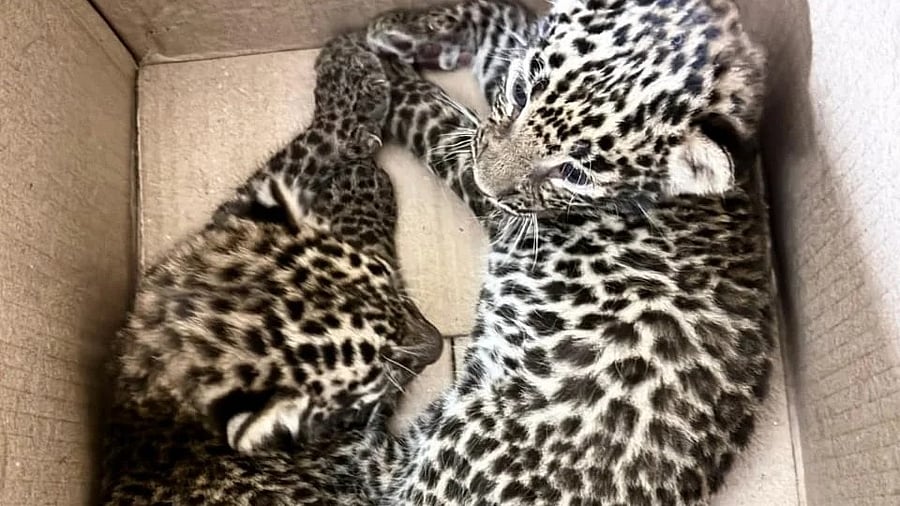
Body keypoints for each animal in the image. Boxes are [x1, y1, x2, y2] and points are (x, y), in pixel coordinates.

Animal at [99, 32, 443, 505]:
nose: (440, 345)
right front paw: (360, 183)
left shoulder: (225, 222)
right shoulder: (356, 454)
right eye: (378, 376)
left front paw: (346, 74)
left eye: (393, 292)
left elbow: (295, 158)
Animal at [348, 0, 778, 504]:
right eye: (519, 92)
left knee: (373, 470)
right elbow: (505, 21)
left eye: (575, 173)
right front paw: (401, 31)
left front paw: (375, 69)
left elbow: (440, 124)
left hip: (468, 434)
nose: (487, 184)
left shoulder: (507, 211)